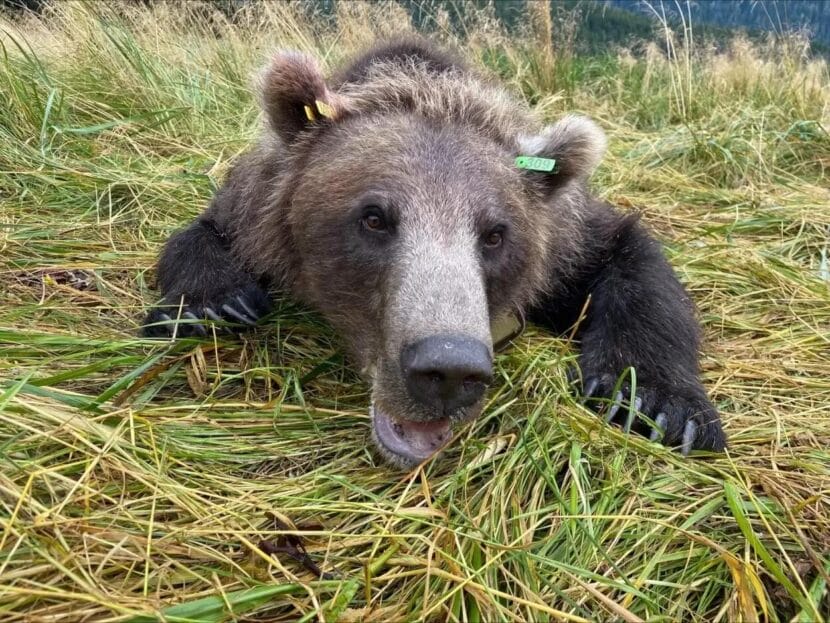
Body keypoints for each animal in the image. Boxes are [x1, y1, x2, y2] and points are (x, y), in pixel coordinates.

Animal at [142, 38, 726, 468]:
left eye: (494, 234)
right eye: (374, 217)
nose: (448, 369)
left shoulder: (566, 243)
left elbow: (629, 260)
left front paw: (655, 403)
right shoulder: (255, 205)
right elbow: (204, 235)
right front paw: (218, 302)